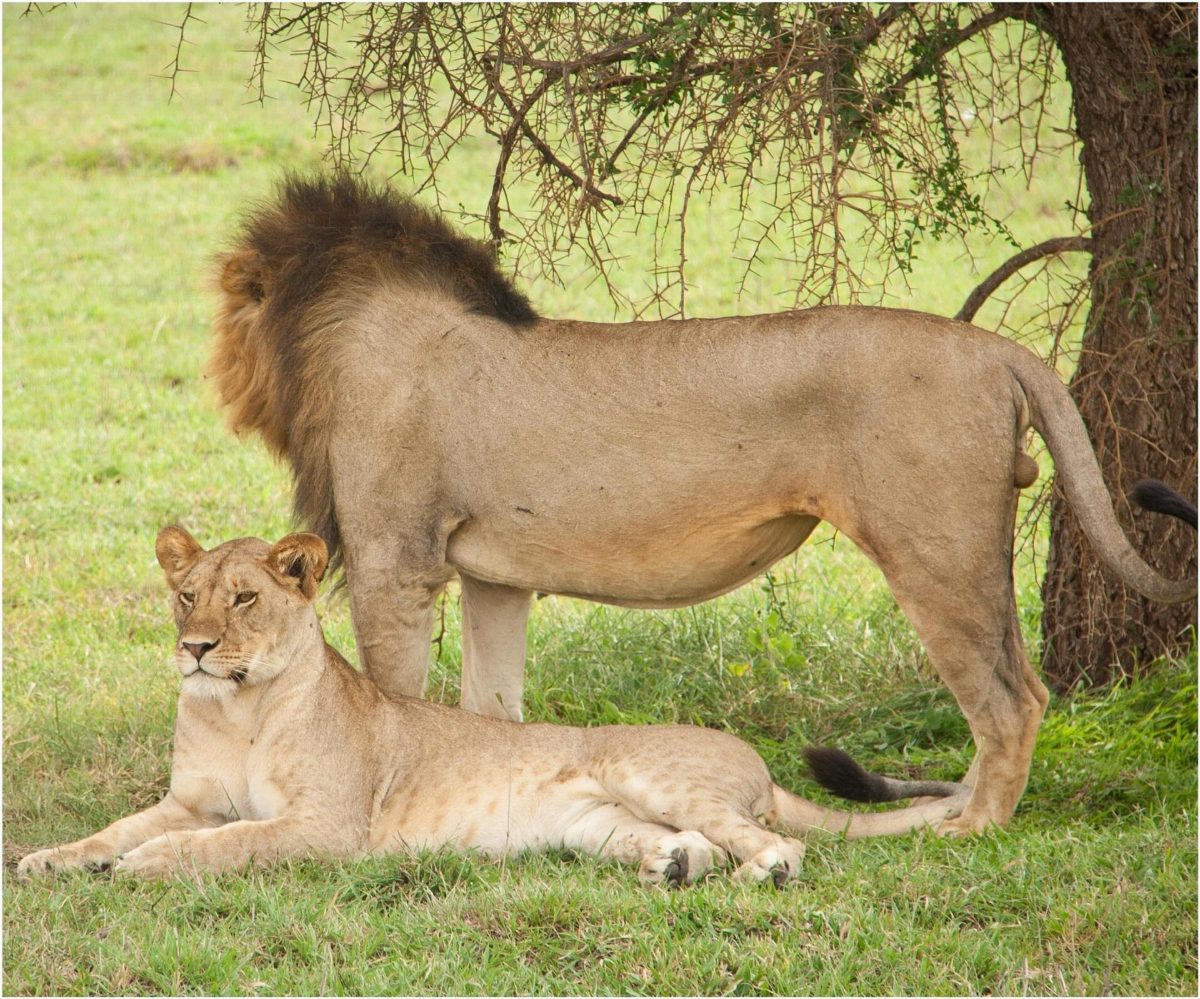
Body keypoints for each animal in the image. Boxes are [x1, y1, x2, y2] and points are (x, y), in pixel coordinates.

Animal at [17, 527, 969, 884]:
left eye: (245, 598)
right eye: (186, 596)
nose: (196, 648)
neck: (238, 708)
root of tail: (758, 765)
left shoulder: (328, 826)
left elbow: (227, 840)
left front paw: (149, 864)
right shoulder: (187, 796)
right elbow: (114, 827)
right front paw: (47, 858)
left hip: (652, 774)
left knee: (779, 846)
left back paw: (751, 876)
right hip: (596, 824)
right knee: (685, 843)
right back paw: (674, 868)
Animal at [209, 173, 1195, 837]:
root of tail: (997, 350)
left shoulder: (396, 560)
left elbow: (394, 697)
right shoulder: (494, 579)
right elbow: (493, 712)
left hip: (936, 553)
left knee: (1010, 702)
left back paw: (973, 829)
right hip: (968, 553)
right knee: (1023, 686)